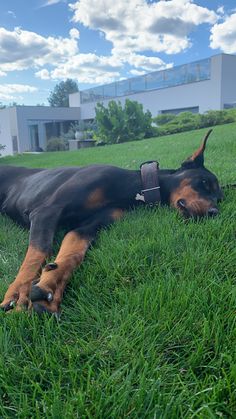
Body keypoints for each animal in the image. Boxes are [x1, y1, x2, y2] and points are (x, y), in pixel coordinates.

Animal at [0, 131, 223, 316]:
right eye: (204, 183)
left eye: (219, 199)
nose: (214, 213)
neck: (134, 189)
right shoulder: (47, 211)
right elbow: (38, 252)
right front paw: (20, 291)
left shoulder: (88, 227)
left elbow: (73, 253)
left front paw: (51, 289)